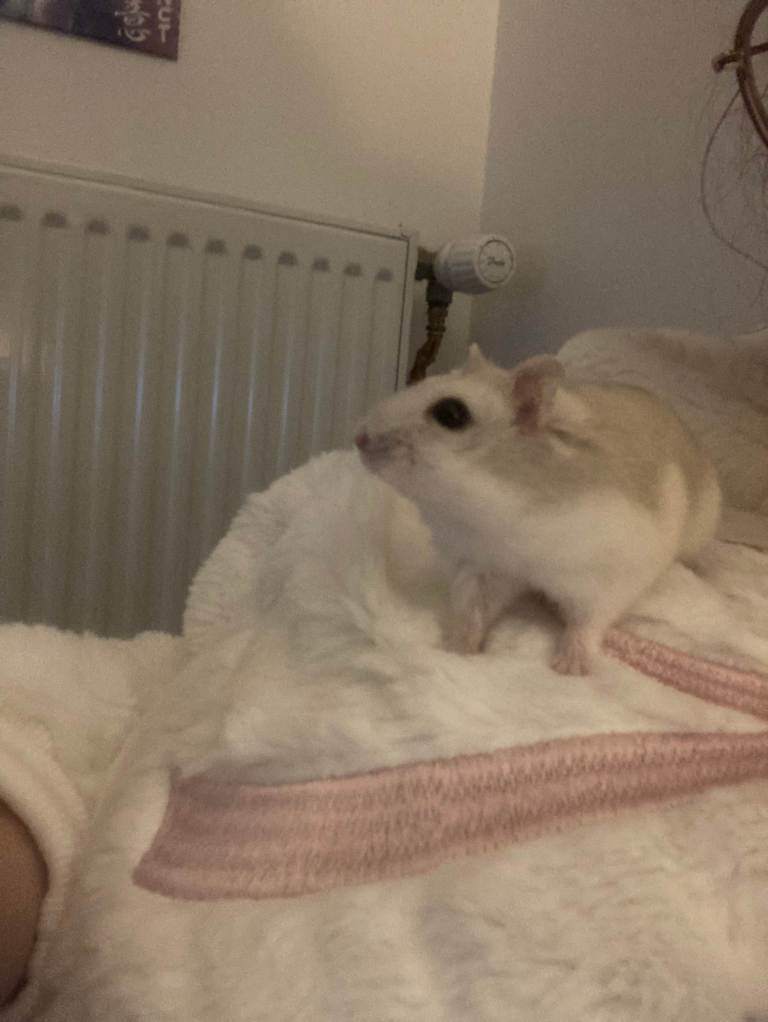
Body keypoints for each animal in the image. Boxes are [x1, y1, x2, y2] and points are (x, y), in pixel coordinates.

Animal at [354, 344, 721, 676]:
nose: (358, 438)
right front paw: (455, 650)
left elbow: (587, 621)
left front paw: (567, 669)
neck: (493, 512)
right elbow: (471, 613)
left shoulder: (608, 576)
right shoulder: (482, 566)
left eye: (452, 414)